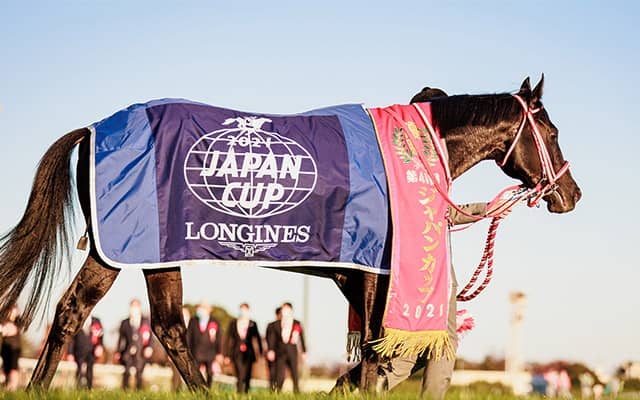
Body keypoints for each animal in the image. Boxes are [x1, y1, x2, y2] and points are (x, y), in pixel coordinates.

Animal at [0, 76, 580, 391]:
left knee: (133, 321)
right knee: (108, 317)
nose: (571, 194)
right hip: (128, 247)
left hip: (141, 251)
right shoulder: (370, 270)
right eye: (551, 131)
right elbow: (375, 351)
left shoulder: (356, 273)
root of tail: (93, 128)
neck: (404, 157)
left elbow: (377, 352)